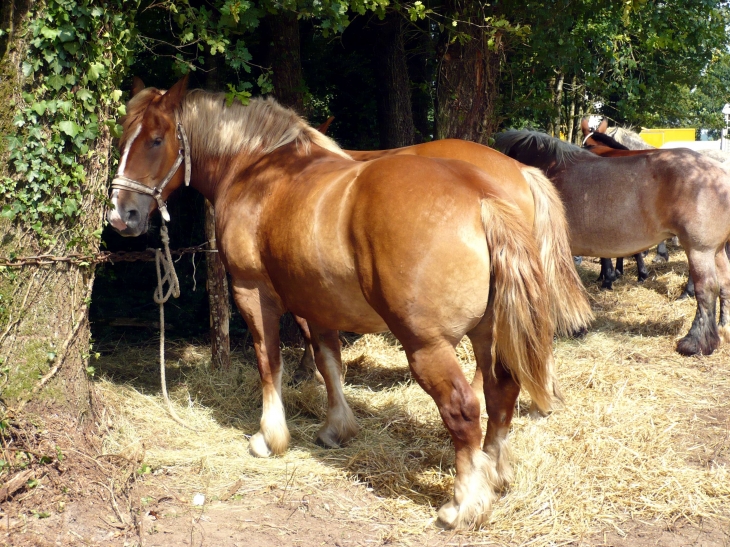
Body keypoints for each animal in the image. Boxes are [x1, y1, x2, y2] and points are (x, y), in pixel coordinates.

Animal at [494, 131, 730, 358]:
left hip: (700, 250)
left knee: (707, 289)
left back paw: (695, 343)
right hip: (716, 251)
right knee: (725, 283)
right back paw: (723, 328)